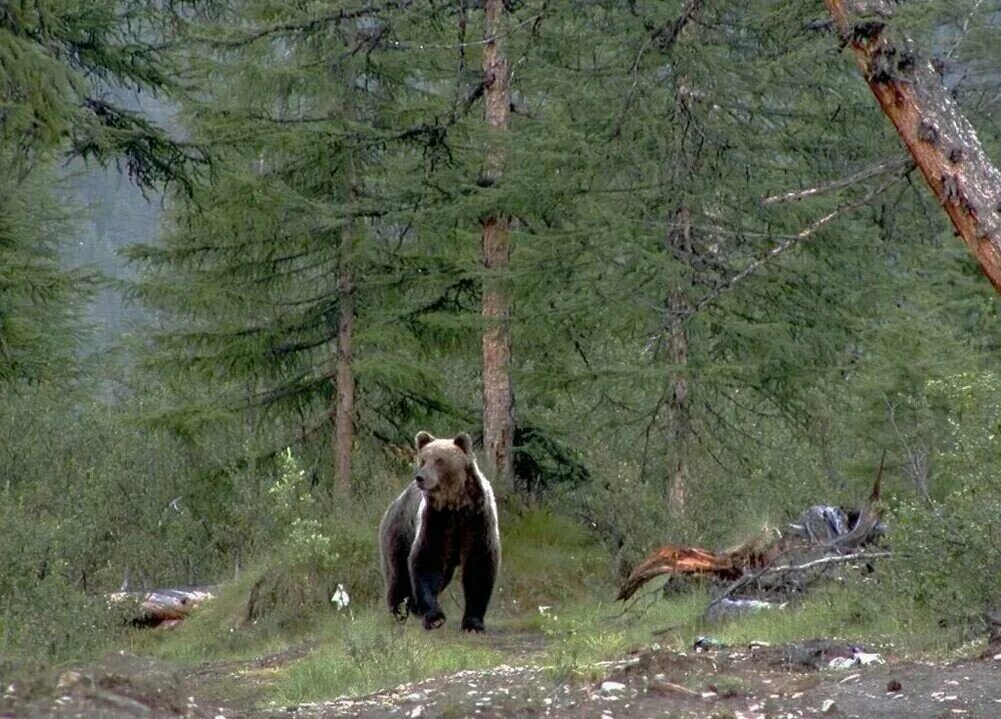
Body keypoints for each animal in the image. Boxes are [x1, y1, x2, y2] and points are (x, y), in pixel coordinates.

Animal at [376, 434, 498, 632]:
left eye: (440, 460)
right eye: (423, 459)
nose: (420, 477)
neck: (455, 506)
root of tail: (394, 504)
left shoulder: (476, 519)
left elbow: (479, 562)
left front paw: (473, 622)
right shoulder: (435, 521)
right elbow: (427, 559)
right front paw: (435, 618)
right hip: (399, 533)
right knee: (398, 576)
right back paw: (399, 612)